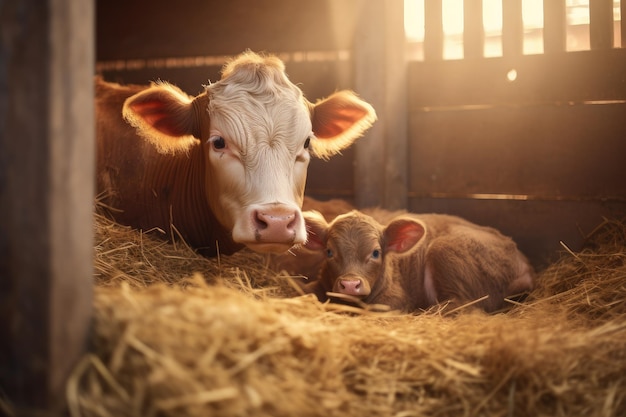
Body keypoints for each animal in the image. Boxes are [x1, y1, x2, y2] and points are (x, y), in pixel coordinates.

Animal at [300, 211, 532, 312]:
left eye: (375, 253)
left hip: (444, 249)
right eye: (329, 252)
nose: (349, 284)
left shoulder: (396, 298)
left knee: (460, 306)